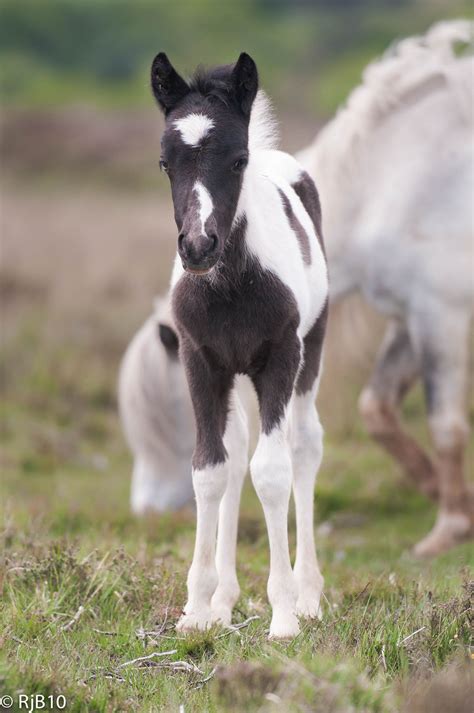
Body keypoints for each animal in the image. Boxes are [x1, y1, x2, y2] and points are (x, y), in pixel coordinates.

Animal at [152, 52, 330, 636]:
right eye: (165, 163)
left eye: (238, 160)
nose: (198, 246)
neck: (231, 284)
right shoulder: (200, 361)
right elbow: (211, 469)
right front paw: (197, 610)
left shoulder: (280, 357)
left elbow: (271, 473)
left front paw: (284, 616)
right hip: (233, 376)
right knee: (236, 450)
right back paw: (224, 601)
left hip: (310, 354)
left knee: (304, 445)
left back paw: (310, 595)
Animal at [298, 18, 472, 556]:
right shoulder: (409, 316)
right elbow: (376, 407)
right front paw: (442, 493)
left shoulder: (442, 314)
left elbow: (446, 425)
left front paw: (447, 529)